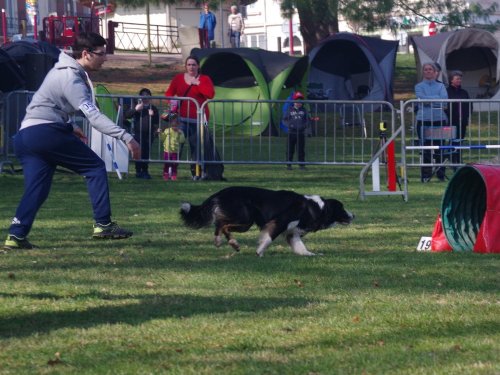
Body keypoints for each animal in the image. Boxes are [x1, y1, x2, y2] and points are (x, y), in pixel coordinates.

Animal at [178, 187, 354, 258]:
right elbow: (268, 238)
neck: (313, 207)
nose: (353, 215)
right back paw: (220, 241)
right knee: (221, 224)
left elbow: (301, 247)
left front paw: (310, 254)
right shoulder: (279, 222)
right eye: (342, 208)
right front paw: (259, 252)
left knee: (222, 225)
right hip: (245, 219)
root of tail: (221, 192)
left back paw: (232, 243)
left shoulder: (292, 233)